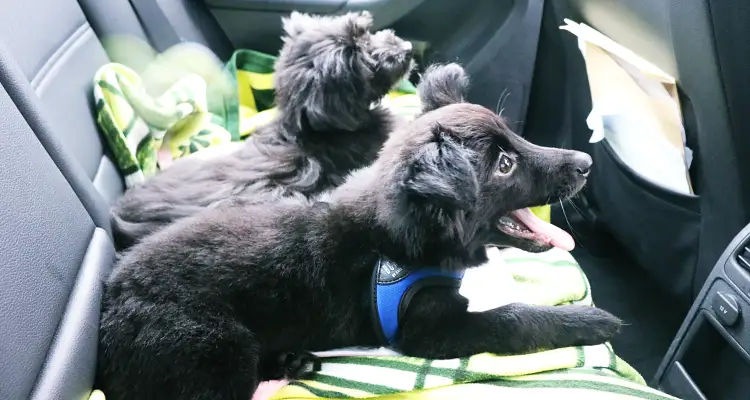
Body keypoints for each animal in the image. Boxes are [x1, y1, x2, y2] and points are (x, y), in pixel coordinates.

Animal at [98, 63, 624, 400]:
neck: (397, 239)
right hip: (211, 347)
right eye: (505, 165)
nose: (586, 162)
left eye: (514, 136)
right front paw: (589, 320)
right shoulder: (428, 328)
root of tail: (107, 305)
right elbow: (515, 317)